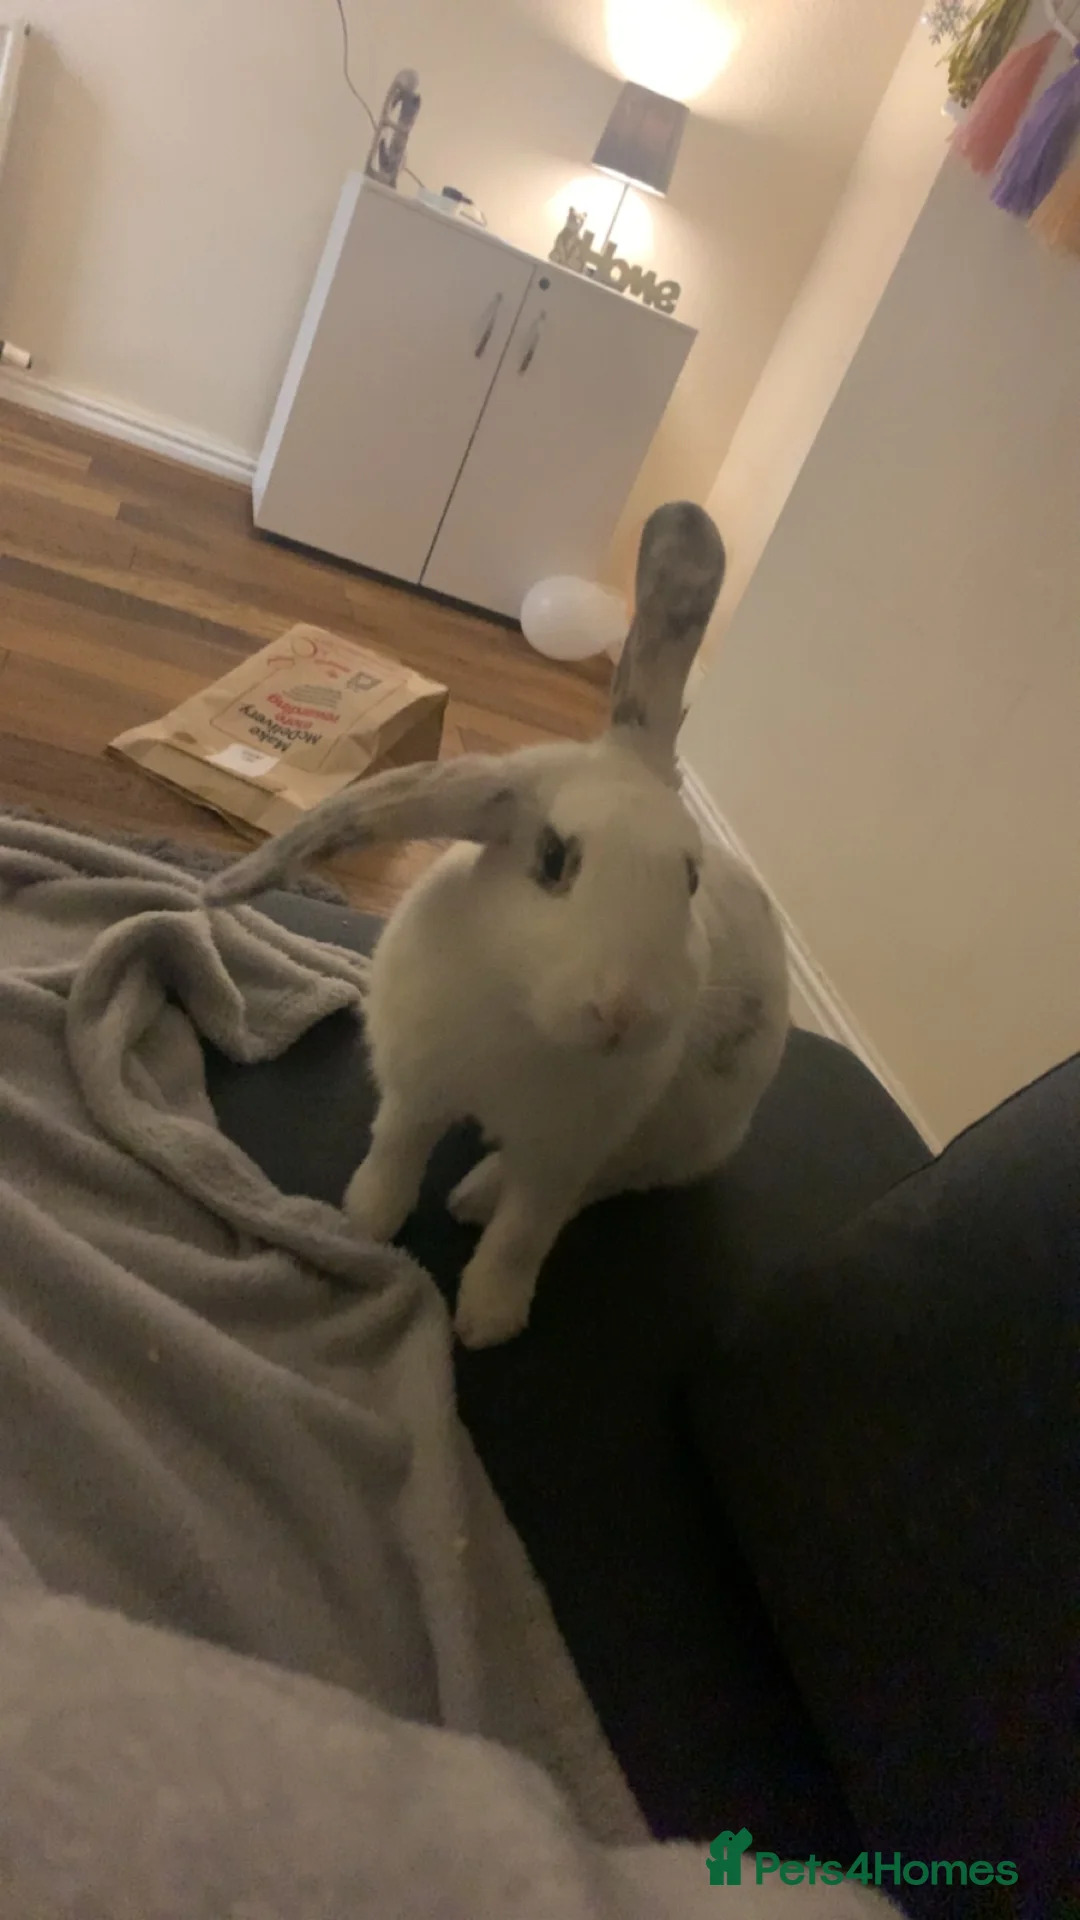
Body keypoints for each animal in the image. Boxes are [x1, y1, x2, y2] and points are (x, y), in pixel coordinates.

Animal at [204, 502, 790, 1348]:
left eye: (689, 877)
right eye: (551, 859)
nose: (625, 1012)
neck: (526, 1025)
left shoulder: (564, 1155)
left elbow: (525, 1233)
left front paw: (486, 1323)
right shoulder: (416, 1086)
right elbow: (394, 1153)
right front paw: (362, 1223)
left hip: (683, 1134)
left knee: (601, 1182)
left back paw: (474, 1195)